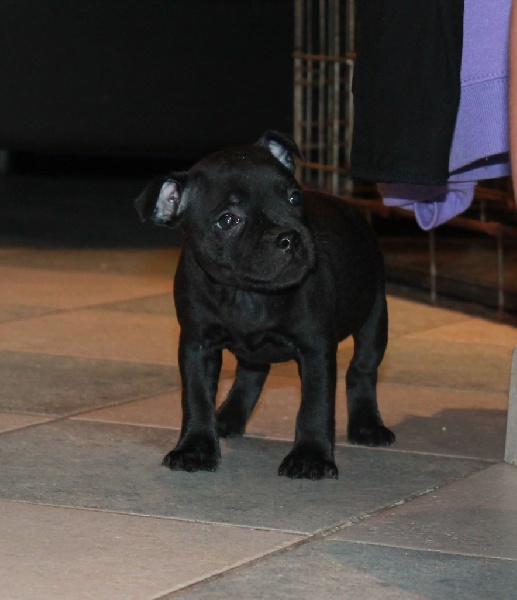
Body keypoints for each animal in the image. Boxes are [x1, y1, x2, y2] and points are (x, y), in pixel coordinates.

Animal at [135, 130, 395, 480]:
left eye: (295, 198)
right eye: (228, 220)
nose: (290, 237)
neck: (248, 293)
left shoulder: (315, 348)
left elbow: (316, 405)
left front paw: (311, 457)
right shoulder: (196, 345)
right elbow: (196, 398)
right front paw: (196, 448)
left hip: (375, 316)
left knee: (362, 370)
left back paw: (367, 426)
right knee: (251, 375)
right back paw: (227, 418)